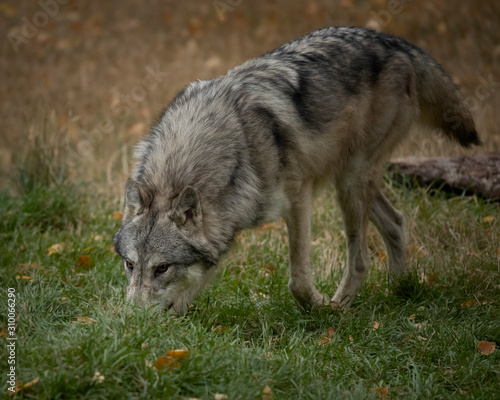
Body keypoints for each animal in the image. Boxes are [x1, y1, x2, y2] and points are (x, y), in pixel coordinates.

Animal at [113, 26, 480, 314]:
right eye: (130, 265)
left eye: (162, 268)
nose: (132, 321)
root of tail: (396, 43)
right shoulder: (225, 227)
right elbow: (193, 283)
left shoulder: (298, 198)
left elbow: (299, 281)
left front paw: (318, 309)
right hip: (349, 180)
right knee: (396, 221)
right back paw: (398, 290)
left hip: (352, 181)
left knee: (361, 256)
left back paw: (340, 306)